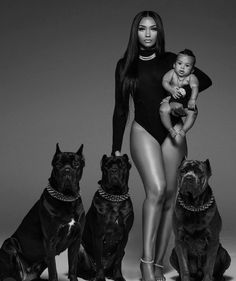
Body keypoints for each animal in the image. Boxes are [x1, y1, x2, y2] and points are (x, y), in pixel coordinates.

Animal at [0, 144, 85, 280]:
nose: (67, 170)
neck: (67, 198)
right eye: (58, 164)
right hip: (9, 244)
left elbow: (72, 266)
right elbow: (53, 270)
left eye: (76, 164)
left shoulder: (76, 240)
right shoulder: (50, 241)